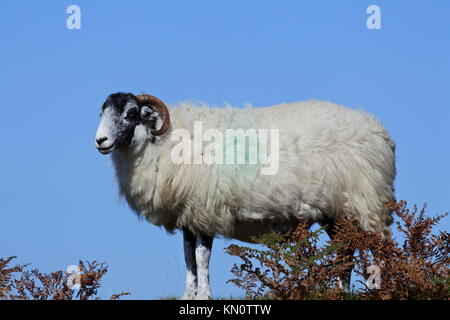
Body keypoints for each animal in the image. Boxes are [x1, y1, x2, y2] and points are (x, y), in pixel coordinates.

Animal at [95, 92, 398, 300]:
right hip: (336, 212)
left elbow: (202, 257)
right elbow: (188, 258)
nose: (100, 141)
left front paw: (204, 296)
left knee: (379, 248)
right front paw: (189, 295)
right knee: (344, 252)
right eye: (103, 112)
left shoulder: (206, 210)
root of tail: (379, 131)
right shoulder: (188, 217)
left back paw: (382, 289)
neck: (164, 141)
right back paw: (339, 293)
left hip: (367, 202)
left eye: (131, 113)